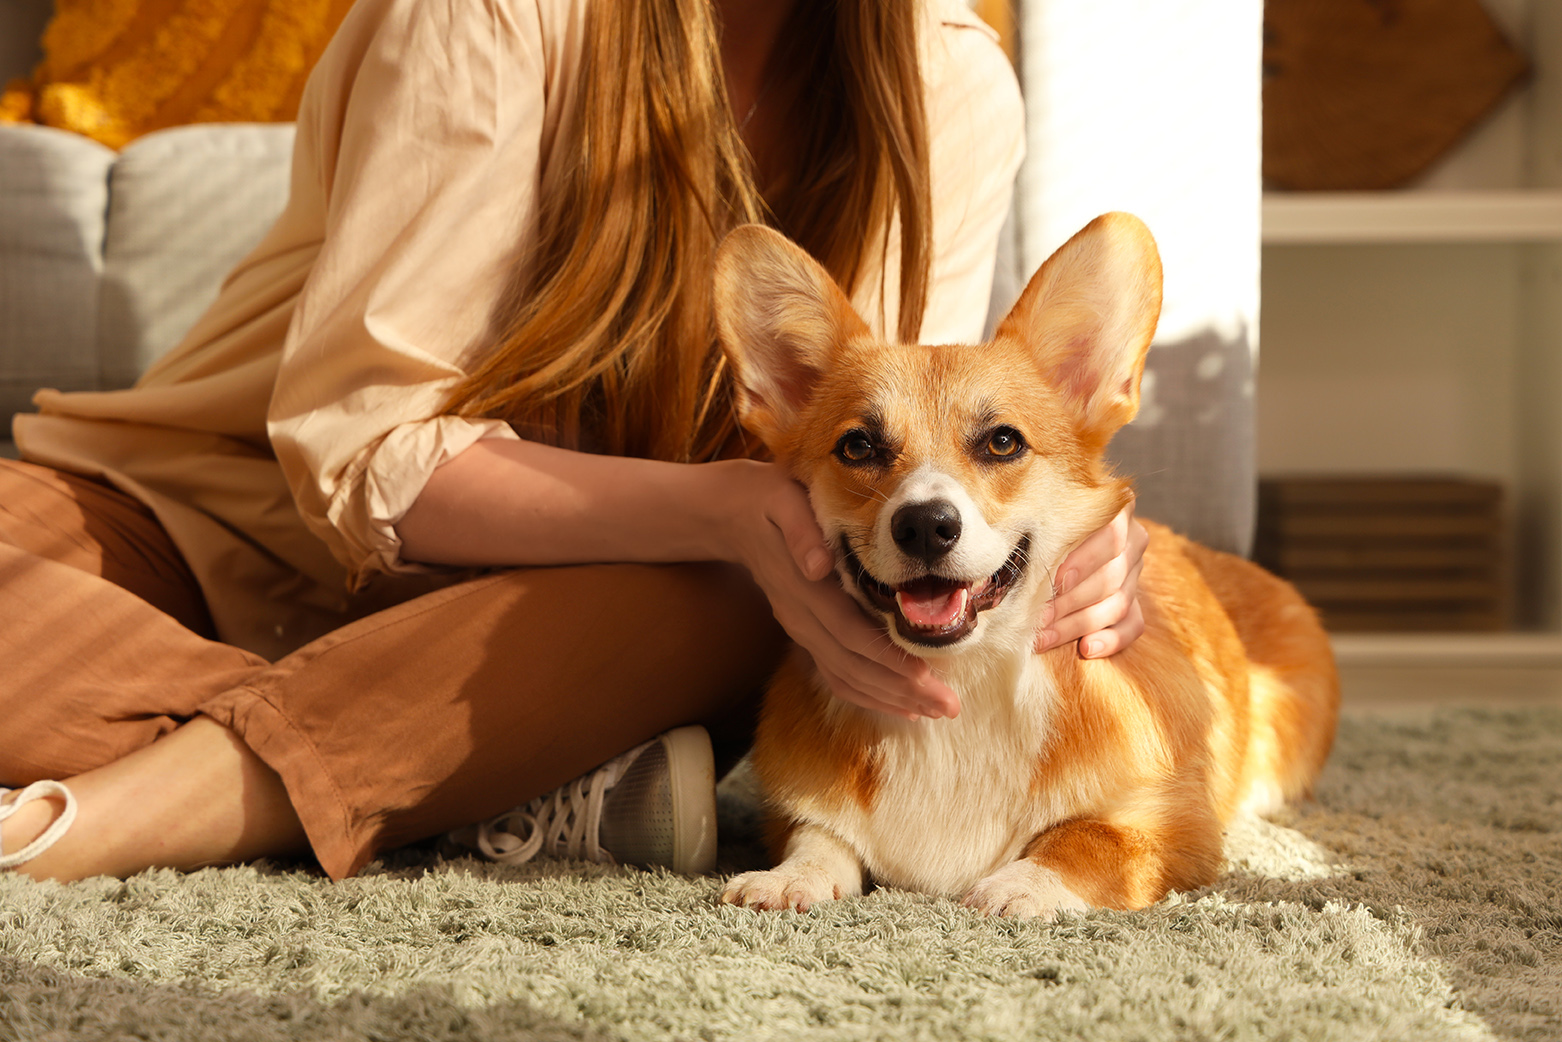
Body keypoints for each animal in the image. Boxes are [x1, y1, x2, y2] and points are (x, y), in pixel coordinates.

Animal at [715, 215, 1337, 918]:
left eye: (1002, 441)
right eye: (857, 446)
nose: (925, 525)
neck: (965, 684)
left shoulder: (1175, 827)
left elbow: (1089, 839)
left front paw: (1021, 885)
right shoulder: (801, 809)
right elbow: (820, 836)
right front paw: (790, 878)